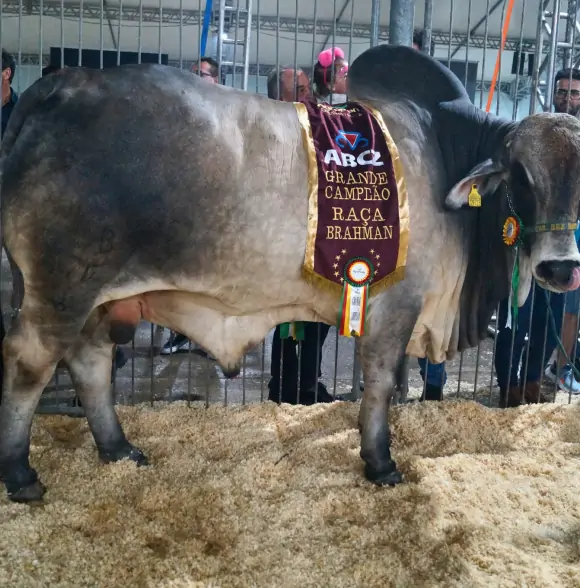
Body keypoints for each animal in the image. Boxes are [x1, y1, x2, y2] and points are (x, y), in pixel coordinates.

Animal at [1, 46, 580, 504]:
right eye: (522, 176)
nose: (560, 267)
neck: (444, 148)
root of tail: (61, 84)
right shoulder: (395, 304)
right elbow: (380, 382)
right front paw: (380, 461)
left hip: (95, 297)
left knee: (91, 362)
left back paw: (118, 448)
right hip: (59, 289)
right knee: (29, 363)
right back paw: (21, 474)